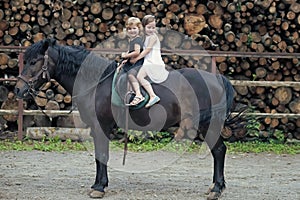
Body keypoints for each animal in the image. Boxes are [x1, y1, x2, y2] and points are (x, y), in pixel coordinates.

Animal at [15, 38, 237, 199]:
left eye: (33, 62)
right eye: (26, 61)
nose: (18, 89)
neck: (96, 83)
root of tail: (216, 78)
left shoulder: (101, 127)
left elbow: (102, 155)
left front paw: (98, 187)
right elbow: (100, 157)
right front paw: (99, 184)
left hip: (208, 124)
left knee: (219, 150)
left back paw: (216, 189)